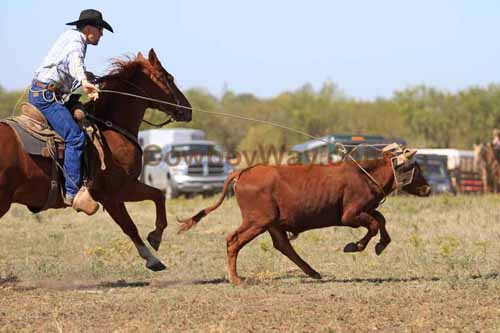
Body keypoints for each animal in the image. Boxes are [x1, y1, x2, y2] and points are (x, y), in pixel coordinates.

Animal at [0, 49, 191, 272]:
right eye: (167, 77)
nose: (188, 109)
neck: (111, 129)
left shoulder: (117, 192)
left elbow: (150, 203)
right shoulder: (117, 191)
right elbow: (140, 215)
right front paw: (154, 246)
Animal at [179, 143, 430, 282]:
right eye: (415, 168)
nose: (428, 188)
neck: (366, 174)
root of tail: (244, 172)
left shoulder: (365, 210)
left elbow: (380, 219)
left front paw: (381, 244)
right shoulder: (350, 215)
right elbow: (375, 224)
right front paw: (355, 246)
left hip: (271, 223)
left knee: (283, 245)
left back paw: (312, 272)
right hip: (257, 221)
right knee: (233, 241)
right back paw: (236, 279)